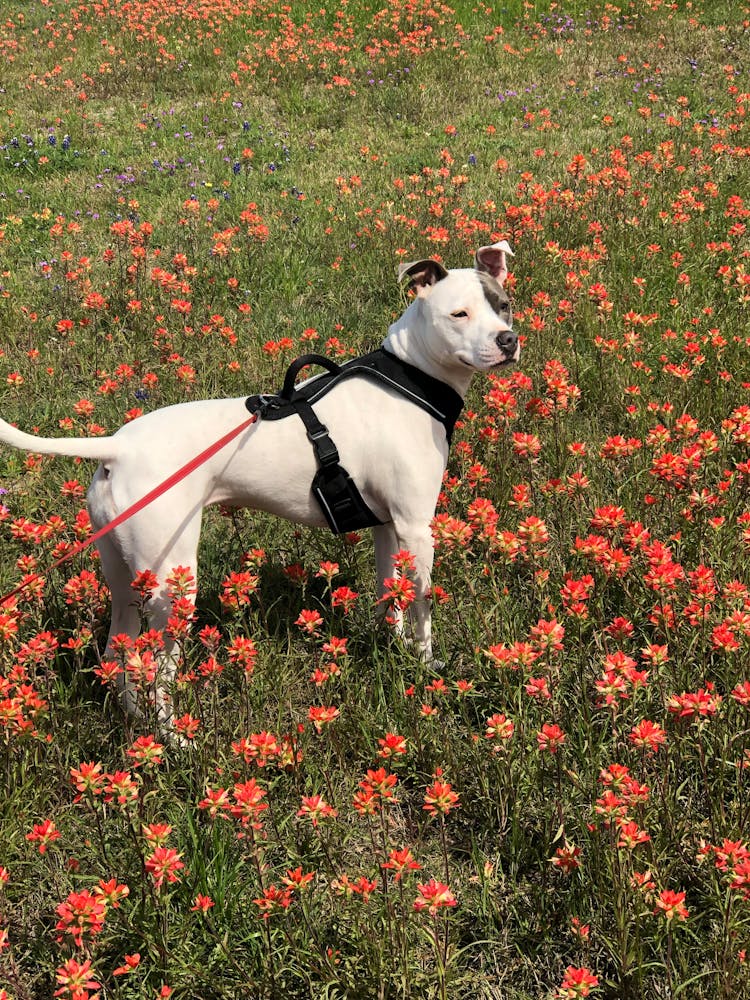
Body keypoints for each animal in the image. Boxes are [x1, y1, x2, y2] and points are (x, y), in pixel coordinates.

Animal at [0, 242, 516, 728]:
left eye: (503, 305)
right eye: (459, 314)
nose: (508, 340)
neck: (411, 377)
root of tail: (117, 447)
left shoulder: (389, 529)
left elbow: (390, 597)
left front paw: (392, 648)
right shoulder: (416, 528)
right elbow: (422, 608)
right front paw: (427, 667)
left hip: (123, 574)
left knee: (119, 658)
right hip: (170, 587)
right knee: (154, 671)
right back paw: (175, 739)